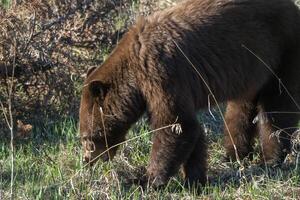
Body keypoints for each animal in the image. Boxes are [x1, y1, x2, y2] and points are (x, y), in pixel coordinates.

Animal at [79, 0, 300, 188]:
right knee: (240, 109)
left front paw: (146, 181)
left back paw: (270, 159)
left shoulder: (161, 73)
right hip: (250, 72)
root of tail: (293, 8)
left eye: (87, 137)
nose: (87, 160)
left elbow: (176, 125)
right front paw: (195, 179)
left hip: (282, 53)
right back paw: (233, 154)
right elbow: (190, 129)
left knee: (276, 108)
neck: (134, 68)